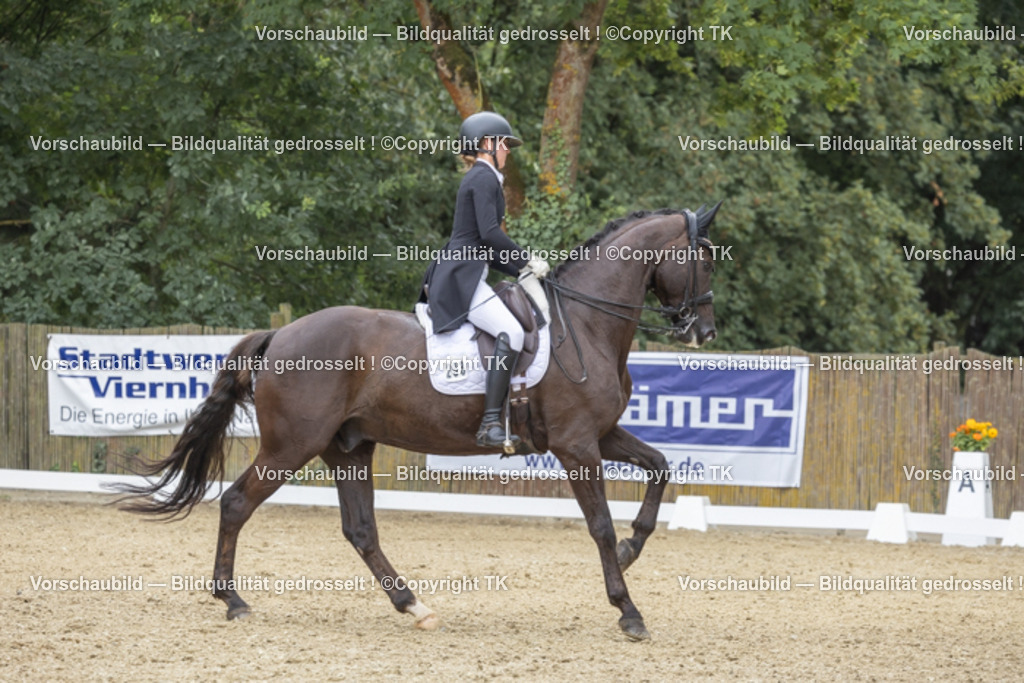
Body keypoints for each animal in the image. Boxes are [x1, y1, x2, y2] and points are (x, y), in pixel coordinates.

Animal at [114, 203, 722, 641]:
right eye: (707, 259)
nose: (704, 332)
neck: (587, 323)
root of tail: (281, 333)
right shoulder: (577, 445)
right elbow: (599, 525)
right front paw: (628, 609)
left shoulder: (600, 435)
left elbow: (660, 467)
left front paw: (633, 548)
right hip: (292, 445)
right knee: (238, 503)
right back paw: (233, 600)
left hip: (348, 448)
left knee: (360, 530)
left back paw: (413, 605)